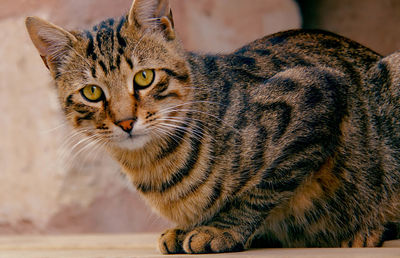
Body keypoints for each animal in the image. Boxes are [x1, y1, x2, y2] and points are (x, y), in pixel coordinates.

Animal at [25, 0, 400, 254]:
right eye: (92, 92)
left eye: (144, 78)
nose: (125, 121)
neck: (153, 167)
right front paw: (185, 229)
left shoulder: (316, 91)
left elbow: (264, 186)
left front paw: (221, 229)